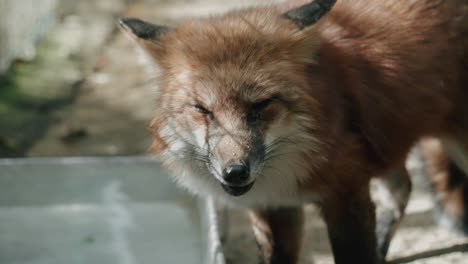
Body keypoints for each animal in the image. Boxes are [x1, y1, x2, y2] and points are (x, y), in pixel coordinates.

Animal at [119, 0, 468, 262]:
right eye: (202, 110)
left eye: (262, 105)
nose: (235, 172)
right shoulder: (275, 206)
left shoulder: (346, 195)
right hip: (387, 139)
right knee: (403, 186)